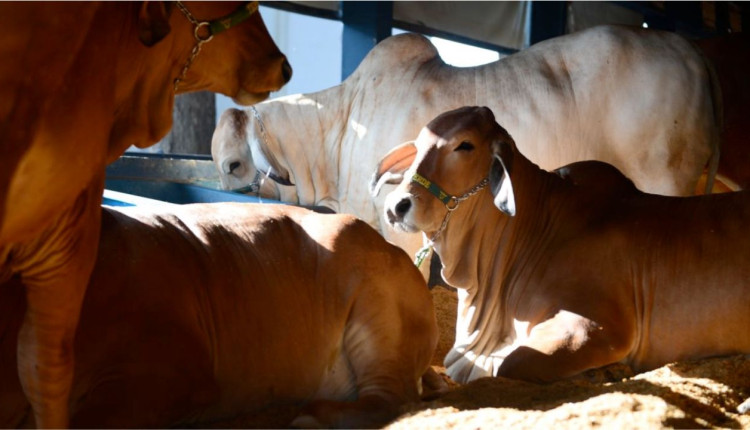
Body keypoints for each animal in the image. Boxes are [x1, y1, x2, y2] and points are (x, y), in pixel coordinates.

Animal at [373, 106, 750, 399]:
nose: (397, 206)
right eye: (419, 146)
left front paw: (605, 372)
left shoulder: (593, 329)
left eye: (465, 145)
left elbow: (510, 363)